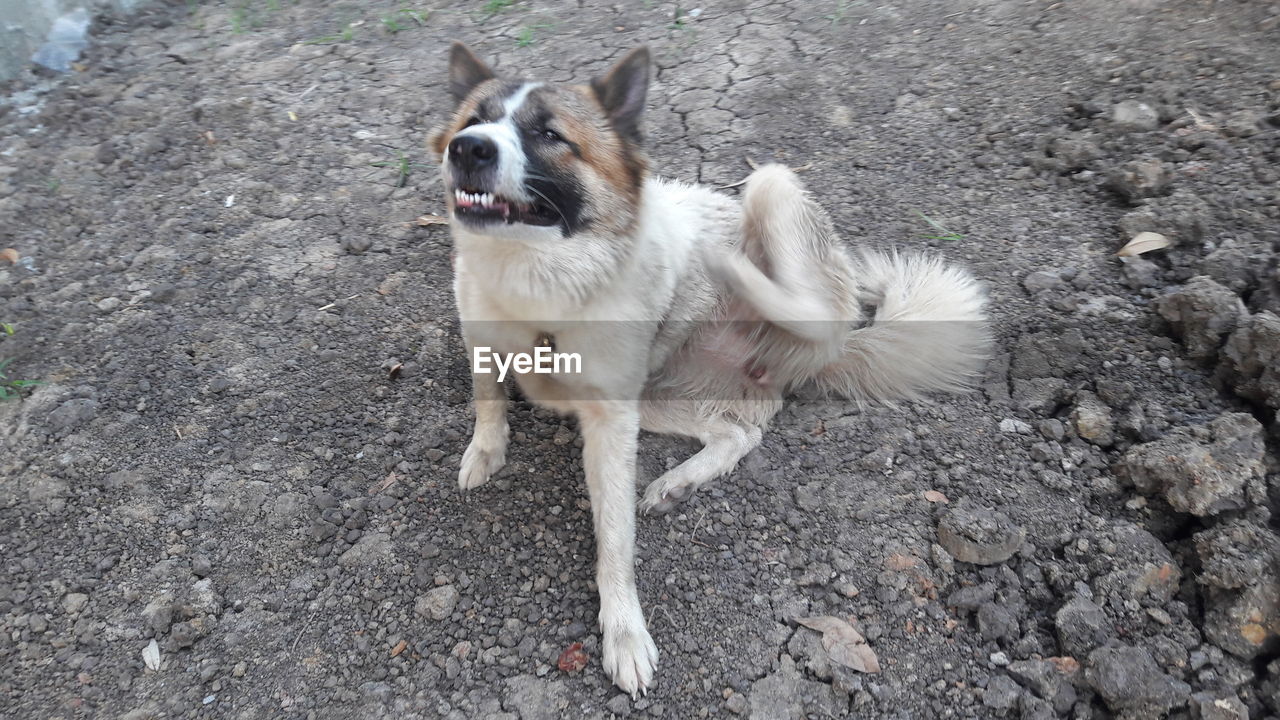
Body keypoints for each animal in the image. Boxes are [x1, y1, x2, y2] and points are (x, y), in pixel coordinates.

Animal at [430, 41, 988, 691]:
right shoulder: (487, 340)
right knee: (739, 432)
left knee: (814, 313)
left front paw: (624, 631)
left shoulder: (610, 424)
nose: (468, 148)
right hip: (659, 394)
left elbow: (614, 537)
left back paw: (731, 268)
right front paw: (485, 451)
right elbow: (488, 398)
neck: (536, 285)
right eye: (472, 121)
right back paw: (680, 481)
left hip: (770, 187)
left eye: (549, 134)